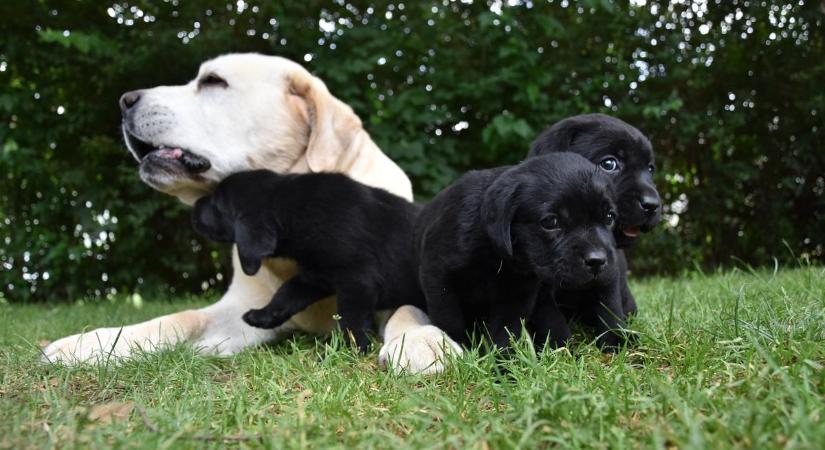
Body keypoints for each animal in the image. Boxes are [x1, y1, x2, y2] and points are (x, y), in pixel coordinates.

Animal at [192, 169, 424, 352]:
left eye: (216, 205)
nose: (195, 205)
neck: (289, 207)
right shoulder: (314, 277)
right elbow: (286, 293)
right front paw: (262, 315)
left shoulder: (357, 280)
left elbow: (351, 317)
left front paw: (350, 349)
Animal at [416, 153, 620, 350]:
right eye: (550, 222)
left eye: (609, 217)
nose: (597, 260)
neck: (493, 253)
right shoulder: (437, 276)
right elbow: (450, 320)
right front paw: (459, 349)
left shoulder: (518, 294)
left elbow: (505, 330)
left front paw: (501, 359)